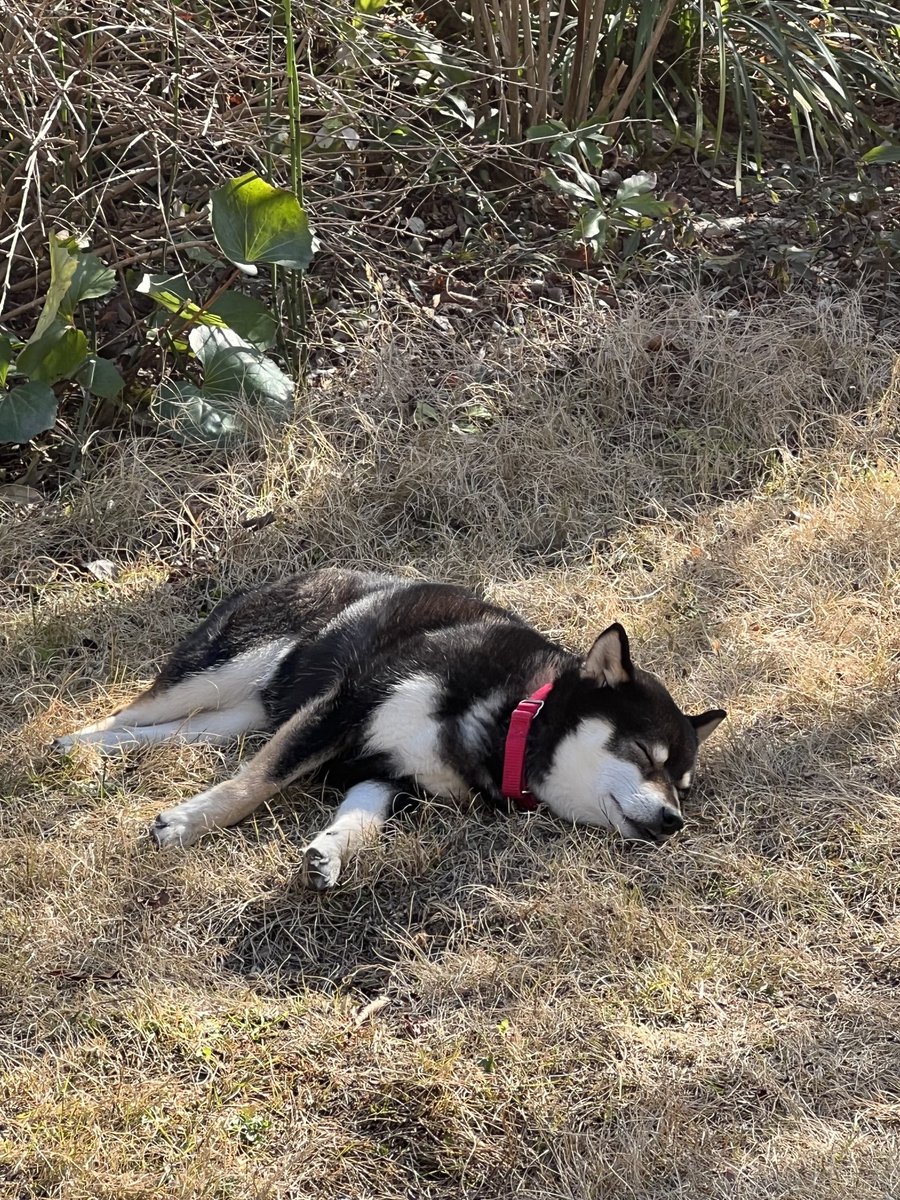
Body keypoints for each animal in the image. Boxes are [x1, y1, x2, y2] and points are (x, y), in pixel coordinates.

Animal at [54, 566, 724, 888]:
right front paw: (187, 823)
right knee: (134, 710)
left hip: (239, 718)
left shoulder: (390, 777)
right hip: (227, 670)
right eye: (644, 754)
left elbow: (358, 821)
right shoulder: (342, 708)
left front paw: (329, 853)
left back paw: (98, 753)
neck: (512, 717)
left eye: (684, 786)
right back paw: (72, 743)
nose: (673, 821)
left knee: (166, 730)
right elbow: (256, 783)